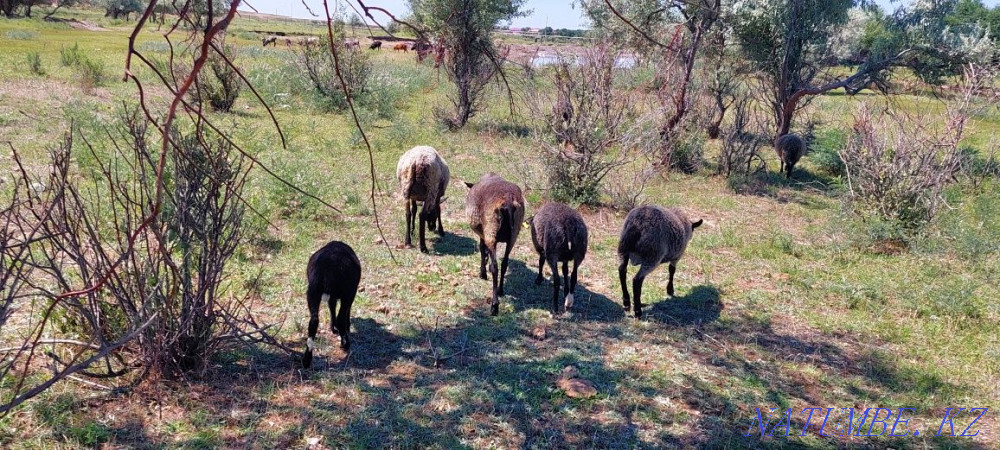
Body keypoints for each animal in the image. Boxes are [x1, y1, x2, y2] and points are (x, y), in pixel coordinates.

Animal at [302, 240, 362, 369]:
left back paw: (306, 360)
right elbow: (345, 311)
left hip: (313, 290)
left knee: (314, 320)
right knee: (341, 317)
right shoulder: (350, 293)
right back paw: (345, 343)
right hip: (347, 292)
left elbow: (331, 306)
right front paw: (346, 327)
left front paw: (332, 327)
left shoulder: (332, 296)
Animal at [464, 174, 526, 316]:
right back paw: (500, 290)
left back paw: (494, 305)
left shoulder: (483, 234)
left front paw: (482, 273)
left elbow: (482, 250)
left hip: (491, 229)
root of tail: (508, 199)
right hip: (513, 234)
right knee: (504, 264)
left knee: (495, 267)